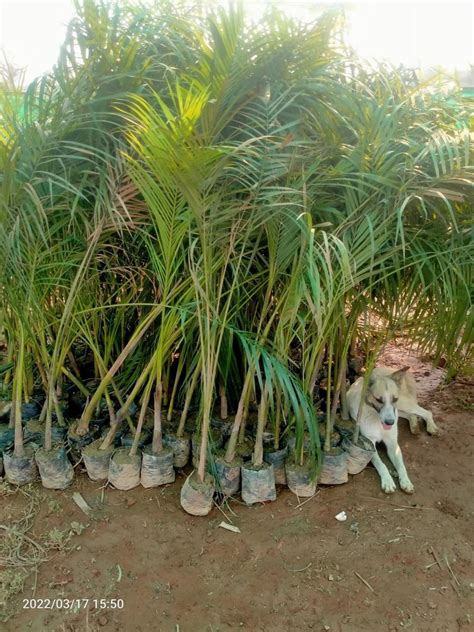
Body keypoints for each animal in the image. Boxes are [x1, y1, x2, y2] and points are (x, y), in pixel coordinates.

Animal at [346, 366, 438, 494]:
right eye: (378, 400)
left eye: (394, 399)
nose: (390, 422)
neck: (378, 421)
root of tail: (390, 368)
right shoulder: (369, 446)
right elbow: (381, 464)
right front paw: (388, 481)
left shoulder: (393, 445)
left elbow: (401, 465)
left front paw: (406, 481)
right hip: (401, 408)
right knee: (411, 415)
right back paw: (414, 425)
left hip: (403, 404)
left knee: (426, 412)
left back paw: (431, 427)